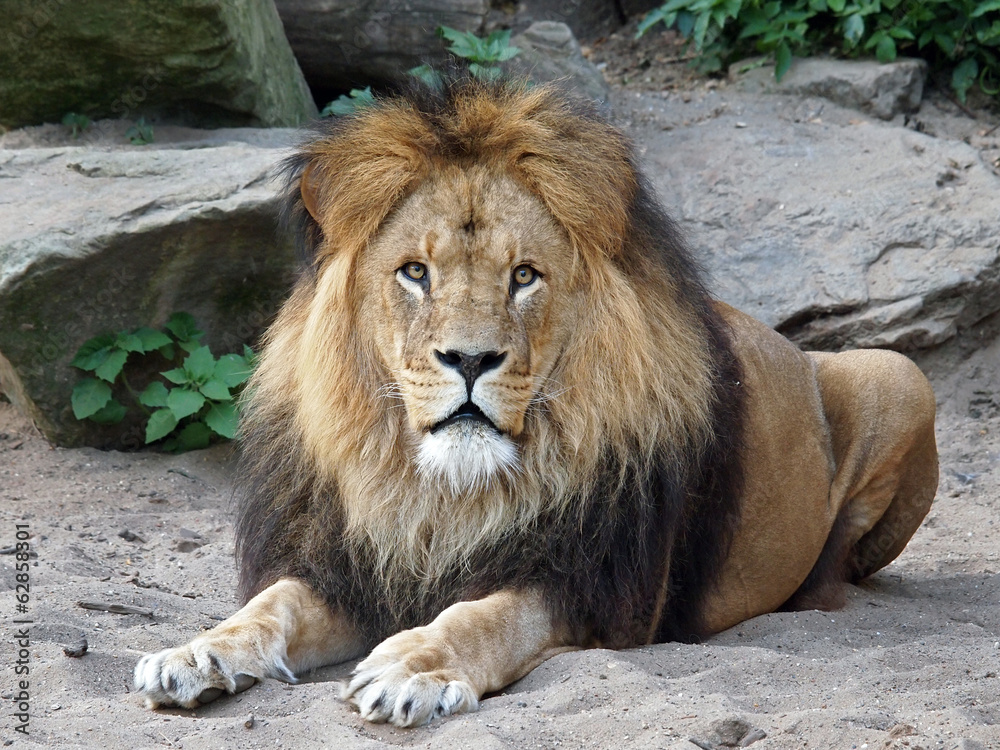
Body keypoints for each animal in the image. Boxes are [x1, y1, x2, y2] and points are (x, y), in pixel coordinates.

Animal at [133, 79, 938, 727]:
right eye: (415, 273)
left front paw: (413, 668)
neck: (444, 494)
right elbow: (271, 605)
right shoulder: (354, 569)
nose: (469, 360)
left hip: (899, 374)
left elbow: (481, 617)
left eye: (524, 276)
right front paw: (196, 652)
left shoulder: (586, 587)